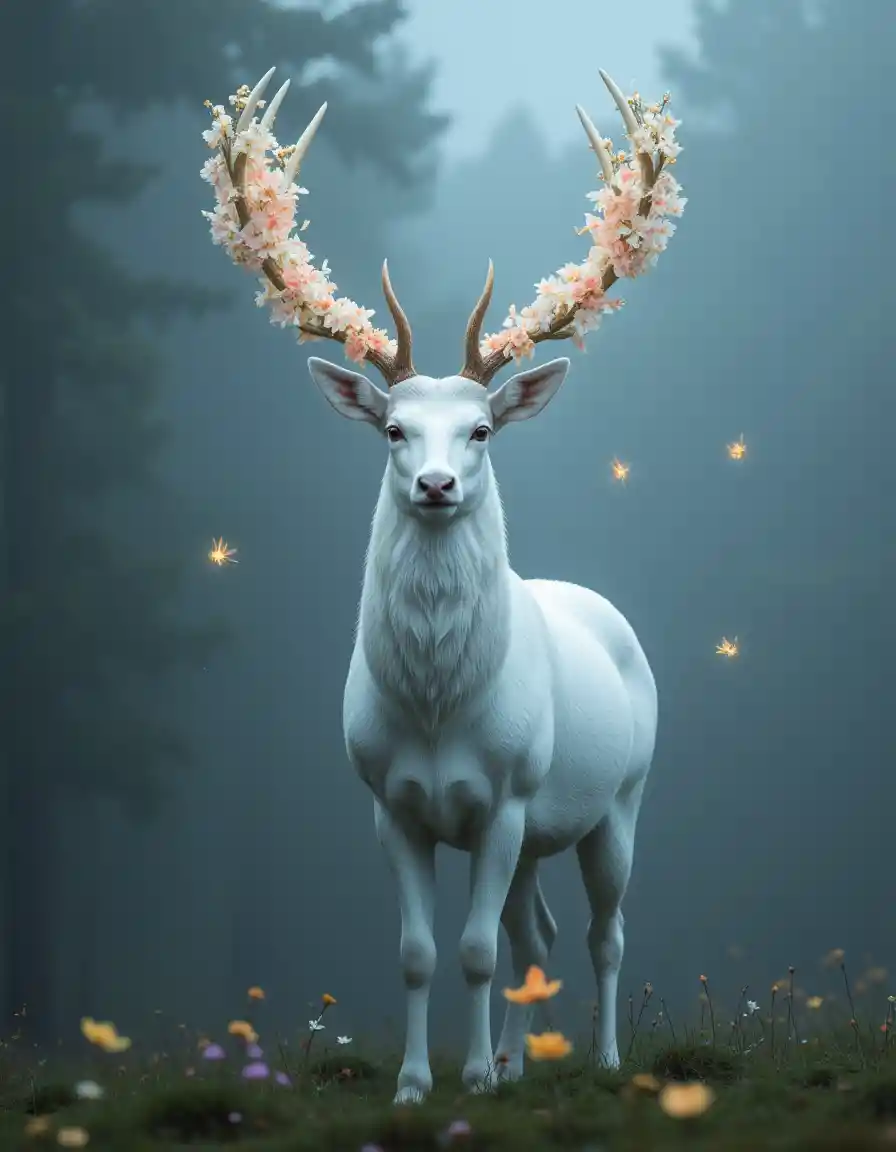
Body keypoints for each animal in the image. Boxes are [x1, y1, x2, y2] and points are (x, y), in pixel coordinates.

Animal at [200, 65, 685, 1103]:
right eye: (393, 429)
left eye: (481, 430)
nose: (434, 485)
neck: (435, 707)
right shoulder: (391, 804)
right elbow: (422, 952)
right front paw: (422, 1083)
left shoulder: (505, 797)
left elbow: (472, 950)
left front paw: (474, 1083)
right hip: (543, 830)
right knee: (537, 932)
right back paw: (516, 1054)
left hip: (620, 797)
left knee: (604, 931)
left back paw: (602, 1057)